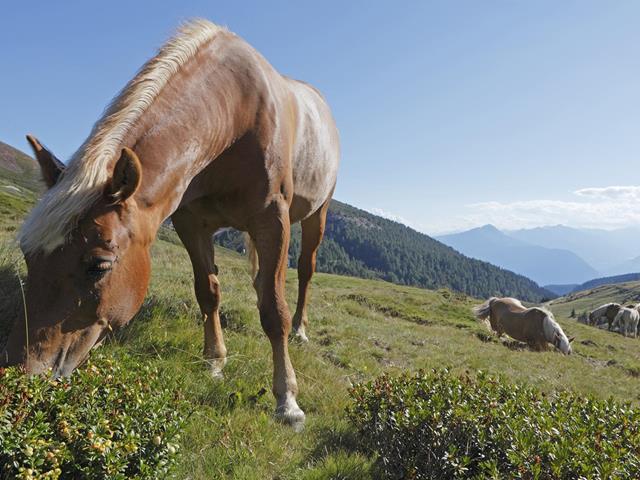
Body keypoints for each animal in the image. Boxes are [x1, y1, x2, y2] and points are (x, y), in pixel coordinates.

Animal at [0, 19, 340, 432]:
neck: (234, 115)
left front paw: (287, 400)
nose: (19, 373)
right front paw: (214, 362)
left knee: (305, 271)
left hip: (316, 215)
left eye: (98, 265)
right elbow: (208, 293)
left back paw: (303, 330)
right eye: (28, 256)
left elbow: (275, 312)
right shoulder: (191, 224)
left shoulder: (272, 220)